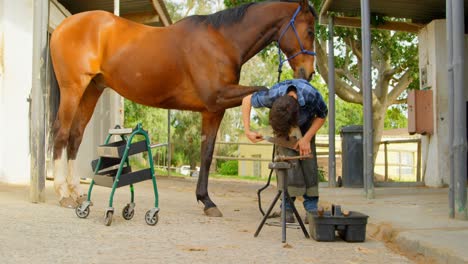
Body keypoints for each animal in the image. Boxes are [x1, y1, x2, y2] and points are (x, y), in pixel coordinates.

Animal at [52, 0, 318, 217]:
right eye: (310, 31)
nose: (308, 73)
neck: (221, 40)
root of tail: (64, 25)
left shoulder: (213, 110)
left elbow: (206, 154)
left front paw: (206, 201)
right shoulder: (218, 97)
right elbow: (264, 90)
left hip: (91, 90)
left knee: (75, 136)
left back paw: (76, 192)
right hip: (73, 88)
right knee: (61, 134)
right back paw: (63, 194)